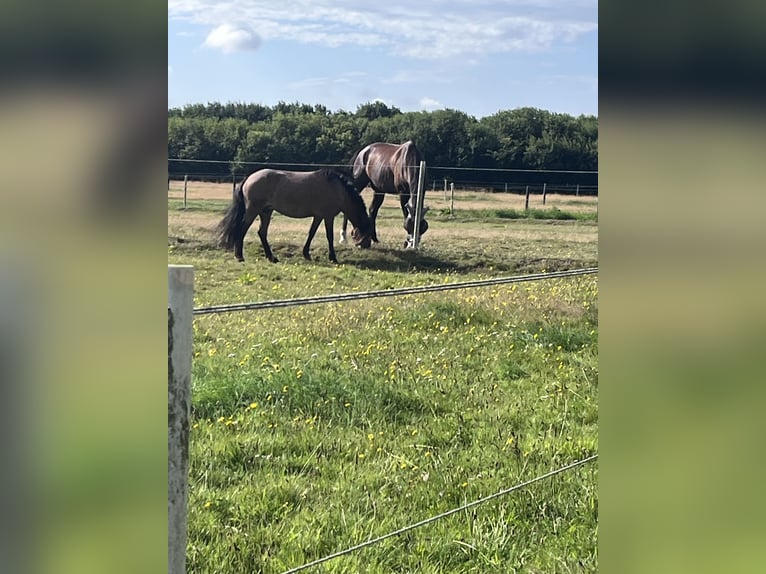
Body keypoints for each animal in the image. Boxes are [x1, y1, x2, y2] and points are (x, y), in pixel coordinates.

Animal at [217, 169, 372, 263]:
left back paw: (271, 257)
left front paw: (306, 254)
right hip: (253, 211)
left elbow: (311, 233)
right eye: (367, 236)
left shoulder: (318, 216)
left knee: (262, 232)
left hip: (266, 212)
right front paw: (333, 257)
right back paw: (239, 256)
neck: (337, 189)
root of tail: (249, 178)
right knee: (242, 229)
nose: (366, 247)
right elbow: (329, 236)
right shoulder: (328, 216)